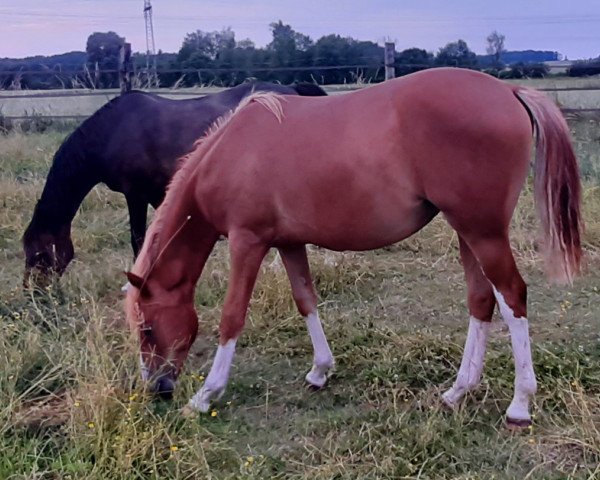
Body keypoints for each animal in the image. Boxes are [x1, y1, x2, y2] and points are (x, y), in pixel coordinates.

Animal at [123, 68, 580, 428]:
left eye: (147, 329)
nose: (157, 390)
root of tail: (508, 90)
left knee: (512, 296)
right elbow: (305, 299)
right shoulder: (288, 242)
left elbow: (232, 317)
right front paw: (320, 371)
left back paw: (519, 405)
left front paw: (205, 396)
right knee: (481, 299)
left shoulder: (247, 241)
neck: (232, 152)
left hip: (482, 232)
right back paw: (457, 391)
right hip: (468, 231)